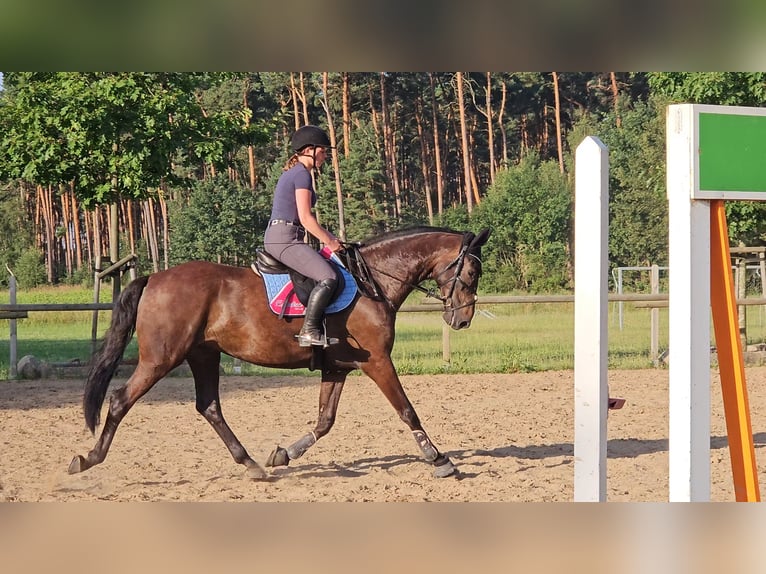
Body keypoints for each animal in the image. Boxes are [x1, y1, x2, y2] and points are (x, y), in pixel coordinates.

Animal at [67, 225, 492, 482]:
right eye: (472, 273)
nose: (462, 320)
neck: (373, 281)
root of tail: (155, 277)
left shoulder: (338, 367)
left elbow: (324, 421)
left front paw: (284, 454)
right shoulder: (377, 362)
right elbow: (406, 410)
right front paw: (440, 460)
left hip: (203, 354)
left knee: (209, 406)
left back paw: (252, 464)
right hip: (162, 358)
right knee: (121, 399)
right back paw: (88, 459)